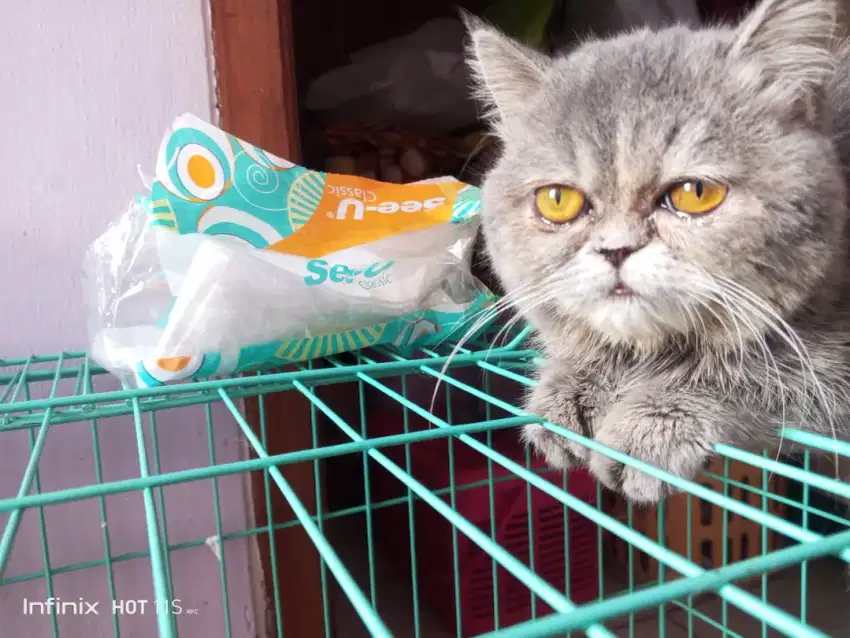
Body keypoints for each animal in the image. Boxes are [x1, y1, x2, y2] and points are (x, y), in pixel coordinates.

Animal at [464, 0, 850, 504]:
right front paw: (570, 384)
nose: (615, 249)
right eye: (557, 200)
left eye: (696, 193)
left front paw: (651, 422)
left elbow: (755, 370)